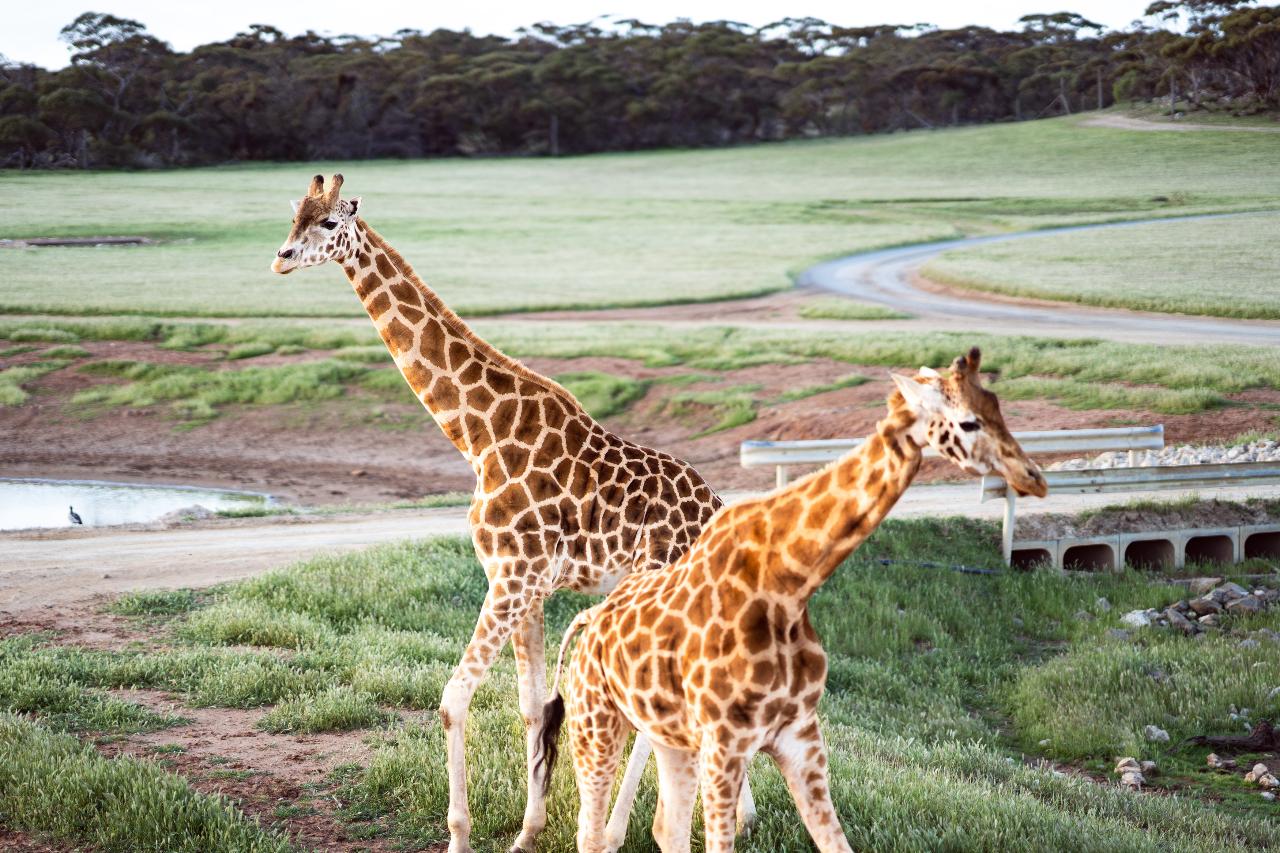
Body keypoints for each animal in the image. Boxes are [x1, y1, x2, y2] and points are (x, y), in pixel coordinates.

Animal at [270, 174, 747, 850]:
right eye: (294, 216)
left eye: (330, 221)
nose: (281, 257)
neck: (481, 437)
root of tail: (719, 512)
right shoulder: (524, 585)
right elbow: (531, 707)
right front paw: (527, 832)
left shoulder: (513, 580)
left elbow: (454, 699)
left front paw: (459, 837)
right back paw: (718, 818)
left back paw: (624, 829)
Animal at [535, 348, 1044, 850]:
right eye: (967, 422)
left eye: (996, 406)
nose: (1034, 477)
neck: (789, 586)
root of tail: (587, 620)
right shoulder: (725, 743)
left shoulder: (800, 738)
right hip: (597, 720)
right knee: (590, 827)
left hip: (667, 736)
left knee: (665, 826)